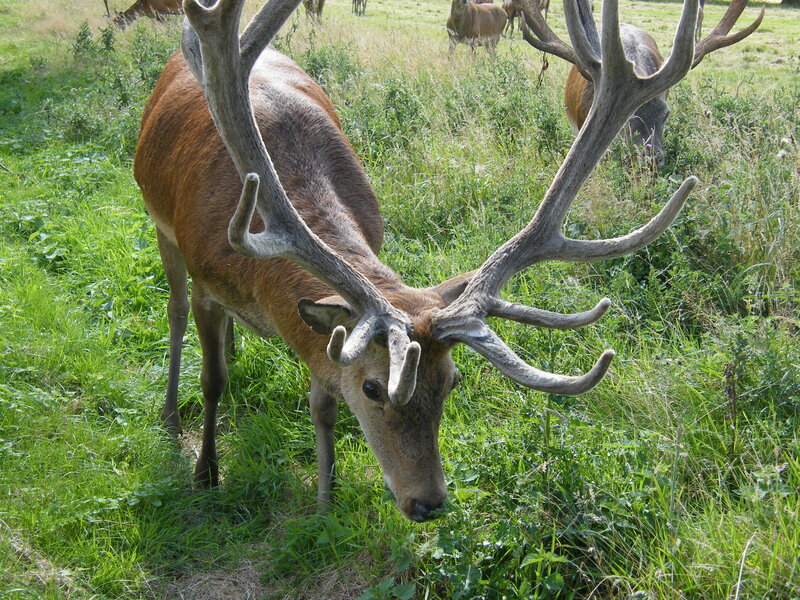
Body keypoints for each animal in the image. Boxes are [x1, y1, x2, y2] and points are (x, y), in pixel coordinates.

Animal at [136, 0, 724, 522]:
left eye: (451, 382)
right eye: (374, 388)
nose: (429, 503)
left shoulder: (327, 336)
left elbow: (323, 403)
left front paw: (325, 500)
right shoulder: (208, 276)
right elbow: (212, 378)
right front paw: (205, 472)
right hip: (160, 224)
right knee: (175, 312)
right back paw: (169, 412)